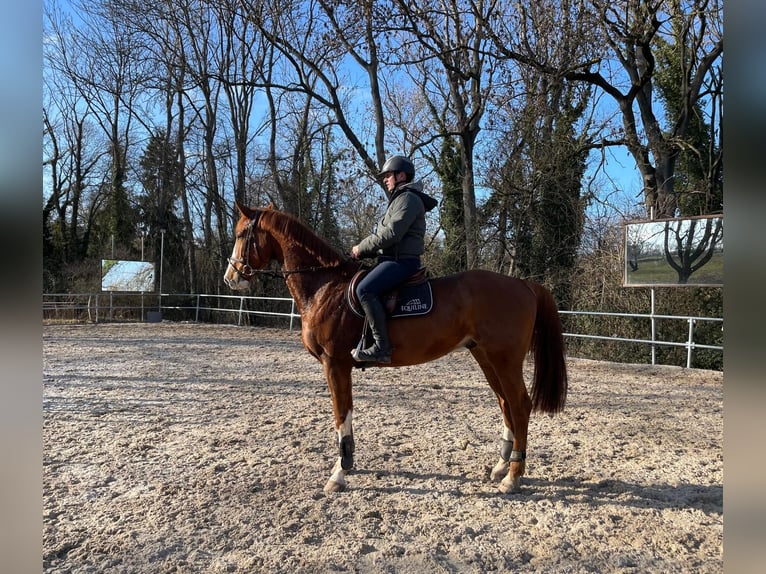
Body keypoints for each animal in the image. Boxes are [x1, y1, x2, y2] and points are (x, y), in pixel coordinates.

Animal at [223, 202, 568, 494]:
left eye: (241, 234)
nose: (231, 278)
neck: (325, 287)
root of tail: (523, 284)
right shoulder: (337, 365)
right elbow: (344, 415)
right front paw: (347, 465)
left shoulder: (335, 364)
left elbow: (341, 414)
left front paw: (340, 472)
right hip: (486, 357)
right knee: (505, 403)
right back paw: (500, 468)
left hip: (504, 359)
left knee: (520, 405)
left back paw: (513, 477)